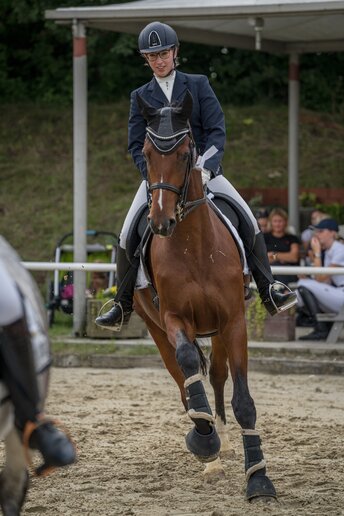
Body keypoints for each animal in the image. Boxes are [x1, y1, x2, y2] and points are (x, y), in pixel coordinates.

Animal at [132, 91, 276, 500]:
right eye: (145, 153)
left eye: (185, 154)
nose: (160, 223)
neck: (193, 247)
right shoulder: (174, 319)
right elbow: (187, 366)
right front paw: (204, 442)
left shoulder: (234, 321)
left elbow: (243, 400)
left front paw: (259, 479)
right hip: (155, 327)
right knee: (184, 380)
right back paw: (209, 448)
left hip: (220, 329)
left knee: (217, 376)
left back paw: (222, 442)